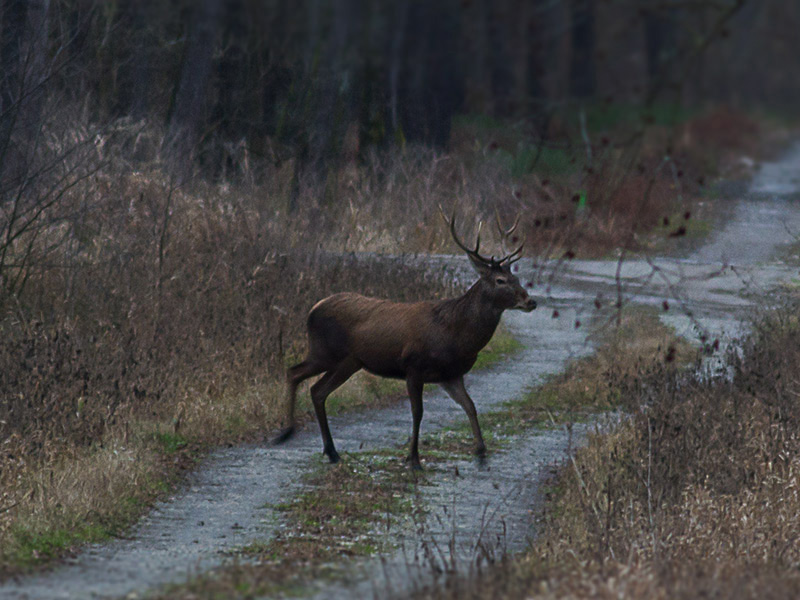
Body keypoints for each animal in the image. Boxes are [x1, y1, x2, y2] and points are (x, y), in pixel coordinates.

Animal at [276, 210, 536, 468]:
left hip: (349, 362)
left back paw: (331, 451)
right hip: (324, 352)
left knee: (317, 391)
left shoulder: (451, 375)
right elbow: (417, 412)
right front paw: (413, 458)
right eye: (500, 281)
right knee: (294, 372)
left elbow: (470, 406)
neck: (455, 335)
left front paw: (481, 450)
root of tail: (312, 309)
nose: (531, 301)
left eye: (517, 279)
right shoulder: (414, 366)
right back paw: (286, 432)